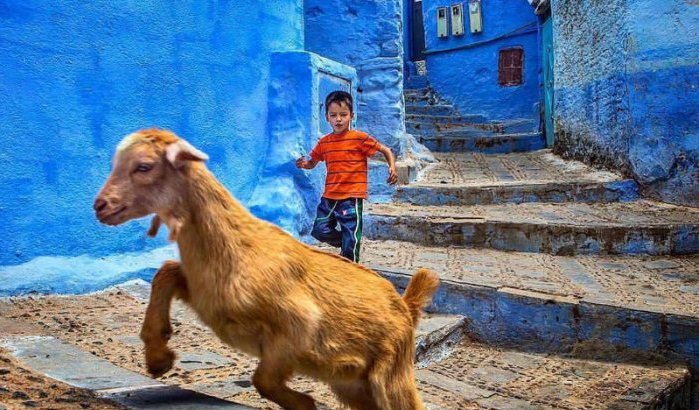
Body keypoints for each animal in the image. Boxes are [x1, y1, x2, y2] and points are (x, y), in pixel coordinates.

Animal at [95, 129, 440, 410]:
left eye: (143, 166)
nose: (100, 206)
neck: (236, 246)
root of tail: (406, 305)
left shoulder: (297, 326)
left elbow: (263, 380)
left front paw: (304, 403)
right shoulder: (205, 296)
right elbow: (165, 272)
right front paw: (158, 358)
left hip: (391, 374)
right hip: (353, 385)